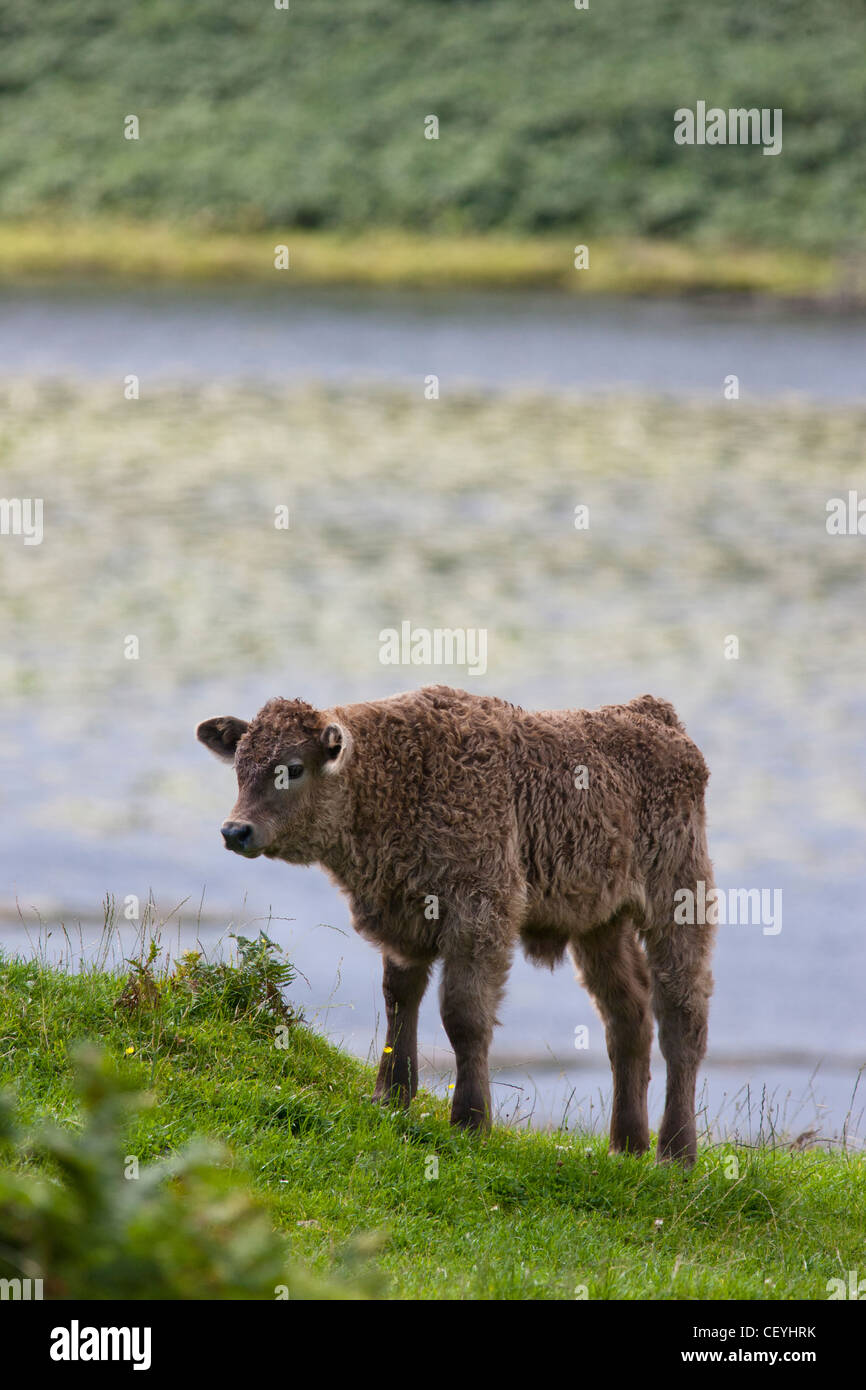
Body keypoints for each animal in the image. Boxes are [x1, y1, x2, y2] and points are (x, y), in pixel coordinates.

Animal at [198, 683, 717, 1162]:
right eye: (240, 765)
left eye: (293, 768)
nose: (234, 830)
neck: (397, 777)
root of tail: (652, 713)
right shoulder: (403, 918)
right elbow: (399, 999)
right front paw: (391, 1096)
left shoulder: (479, 914)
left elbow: (464, 1016)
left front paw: (470, 1119)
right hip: (601, 923)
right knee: (628, 1016)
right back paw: (626, 1145)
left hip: (679, 902)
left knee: (681, 1017)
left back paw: (676, 1152)